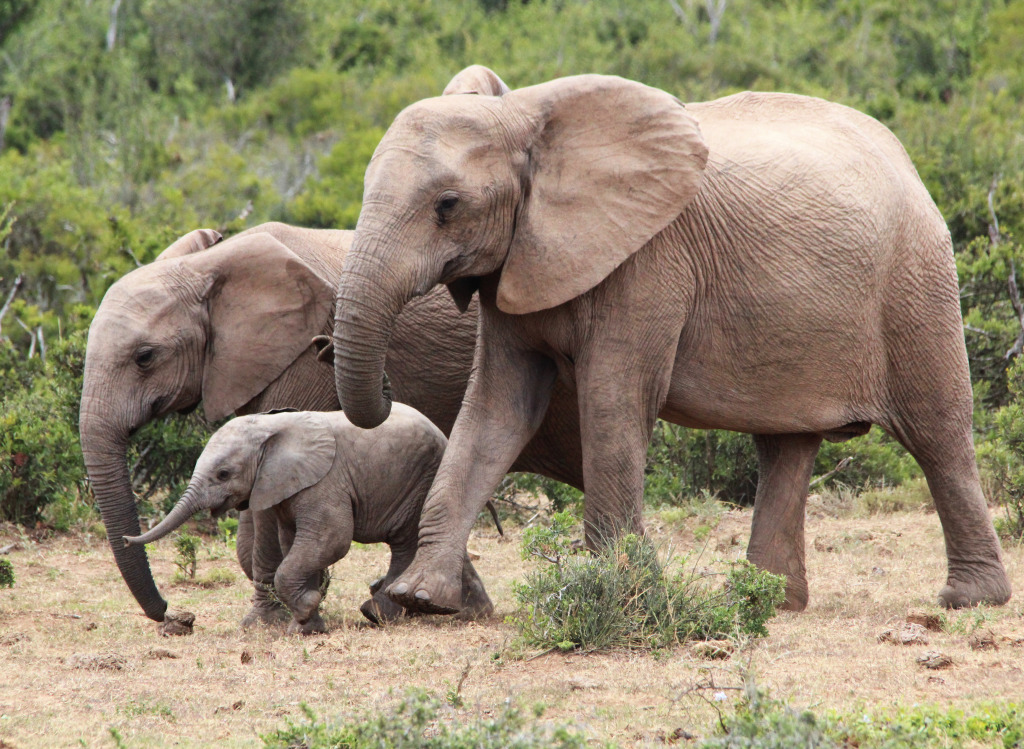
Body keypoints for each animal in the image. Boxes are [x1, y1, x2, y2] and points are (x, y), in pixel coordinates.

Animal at [123, 403, 491, 631]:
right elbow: (295, 545)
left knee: (405, 542)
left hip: (420, 479)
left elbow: (331, 539)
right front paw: (305, 627)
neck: (270, 429)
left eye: (223, 474)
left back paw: (379, 614)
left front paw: (308, 607)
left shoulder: (325, 481)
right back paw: (465, 612)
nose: (127, 539)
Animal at [331, 64, 1011, 614]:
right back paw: (764, 602)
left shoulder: (647, 261)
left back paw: (968, 600)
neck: (528, 118)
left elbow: (613, 399)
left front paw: (619, 595)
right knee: (785, 446)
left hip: (916, 281)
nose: (386, 391)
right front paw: (419, 600)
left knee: (937, 432)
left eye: (447, 205)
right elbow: (497, 409)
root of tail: (908, 162)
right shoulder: (519, 261)